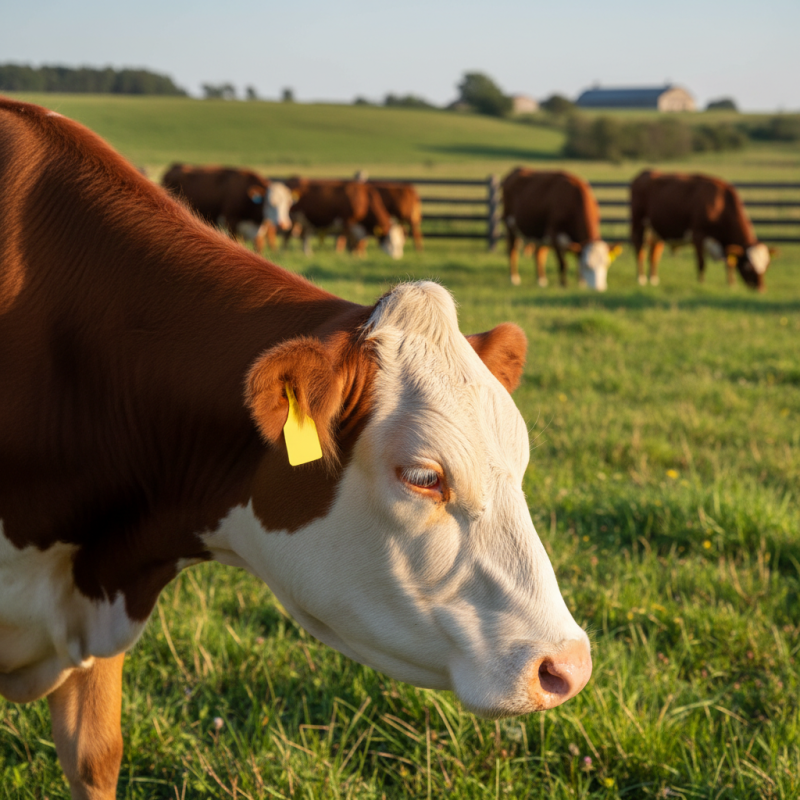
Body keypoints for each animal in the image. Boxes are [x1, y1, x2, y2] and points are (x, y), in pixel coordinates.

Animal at [630, 170, 773, 290]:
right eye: (749, 267)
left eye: (766, 266)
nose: (761, 288)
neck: (719, 203)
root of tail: (645, 172)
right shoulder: (698, 235)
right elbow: (701, 263)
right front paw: (701, 283)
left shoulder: (726, 245)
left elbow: (730, 263)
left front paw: (732, 285)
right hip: (639, 223)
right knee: (639, 249)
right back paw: (641, 279)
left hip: (657, 230)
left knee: (654, 252)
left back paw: (653, 279)